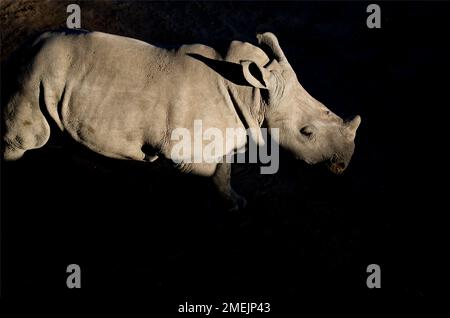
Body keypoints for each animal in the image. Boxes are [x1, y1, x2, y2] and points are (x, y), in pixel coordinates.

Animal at [2, 29, 362, 209]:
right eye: (307, 132)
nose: (343, 165)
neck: (252, 94)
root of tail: (27, 46)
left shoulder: (223, 133)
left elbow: (223, 170)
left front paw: (235, 203)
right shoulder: (186, 151)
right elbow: (212, 172)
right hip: (33, 76)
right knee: (28, 138)